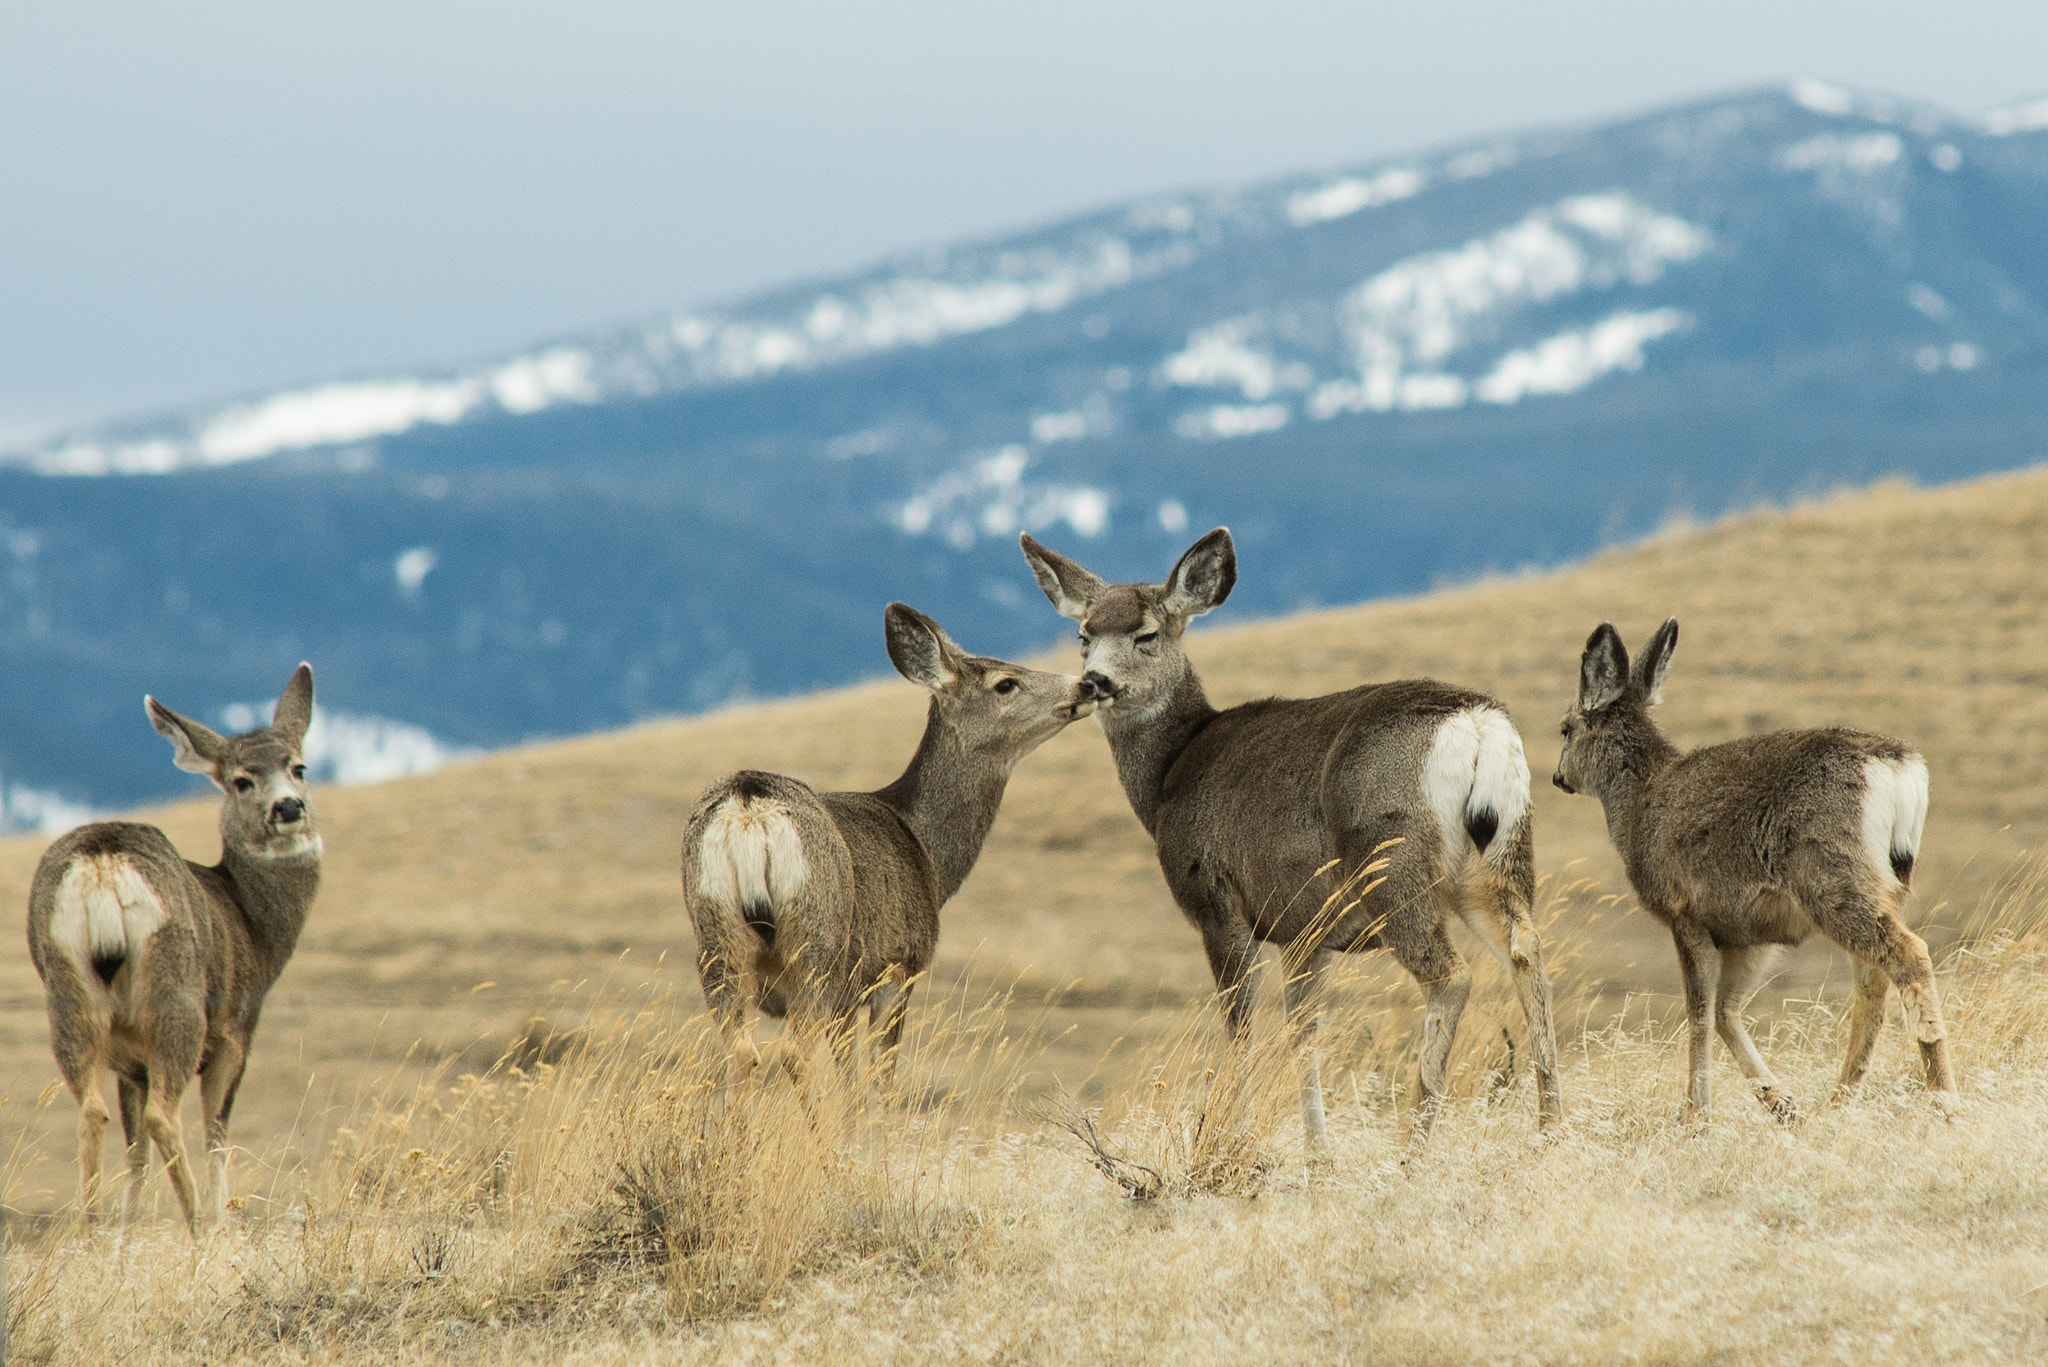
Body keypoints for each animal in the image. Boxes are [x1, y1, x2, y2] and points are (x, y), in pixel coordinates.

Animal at [27, 664, 321, 1235]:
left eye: (298, 767)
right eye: (242, 780)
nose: (288, 807)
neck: (253, 926)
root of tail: (103, 861)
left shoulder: (130, 1064)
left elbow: (136, 1157)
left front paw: (124, 1237)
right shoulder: (235, 1034)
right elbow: (218, 1137)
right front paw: (224, 1223)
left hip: (67, 990)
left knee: (91, 1111)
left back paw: (92, 1235)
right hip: (177, 997)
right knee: (167, 1117)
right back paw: (198, 1228)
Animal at [683, 603, 1090, 1099]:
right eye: (1005, 683)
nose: (1087, 684)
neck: (925, 849)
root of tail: (748, 805)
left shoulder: (849, 992)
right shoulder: (895, 967)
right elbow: (878, 1079)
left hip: (715, 936)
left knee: (741, 1054)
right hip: (819, 941)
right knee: (794, 1052)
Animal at [1019, 529, 1562, 1148]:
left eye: (1147, 634)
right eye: (1083, 636)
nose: (1096, 681)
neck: (1168, 775)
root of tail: (1474, 722)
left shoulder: (1219, 901)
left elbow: (1241, 1030)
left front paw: (1233, 1140)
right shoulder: (1306, 928)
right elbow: (1304, 1032)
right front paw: (1315, 1153)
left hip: (1390, 859)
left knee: (1450, 976)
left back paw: (1412, 1147)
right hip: (1497, 858)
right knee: (1528, 955)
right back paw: (1549, 1128)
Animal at [1553, 618, 1957, 1121]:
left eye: (1564, 729)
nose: (1557, 777)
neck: (1638, 807)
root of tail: (1900, 768)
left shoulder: (1683, 910)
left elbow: (1699, 1013)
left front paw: (1695, 1115)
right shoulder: (1749, 934)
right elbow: (1725, 1011)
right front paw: (1778, 1101)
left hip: (1830, 878)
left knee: (1908, 954)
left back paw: (1944, 1097)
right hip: (1883, 883)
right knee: (1873, 978)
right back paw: (1837, 1099)